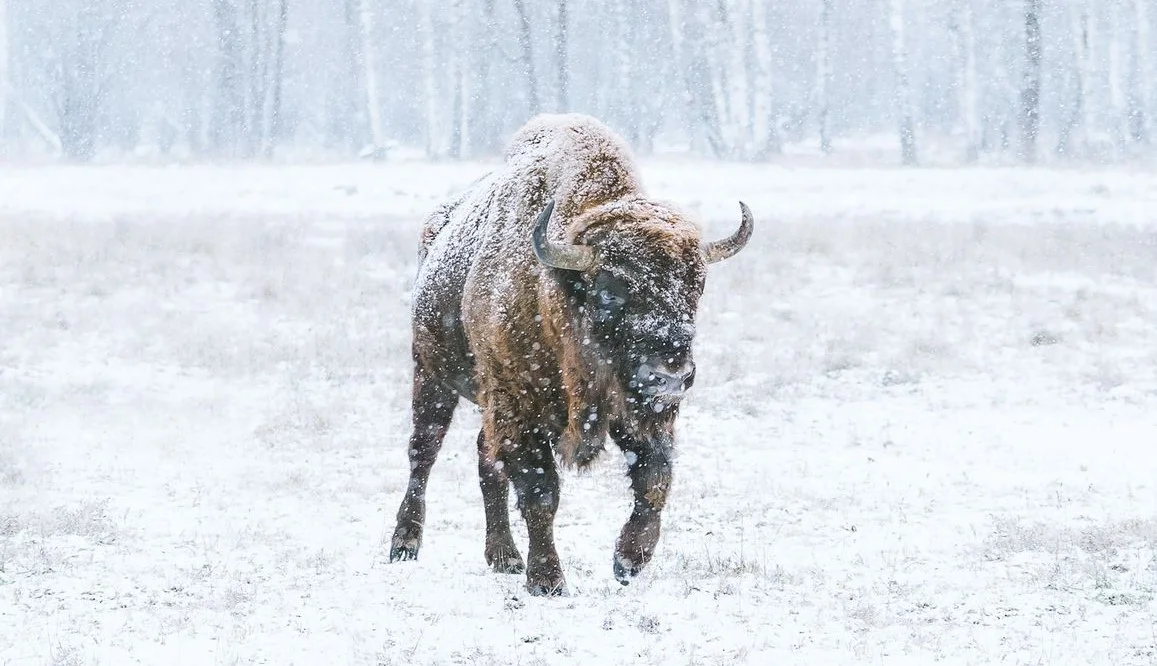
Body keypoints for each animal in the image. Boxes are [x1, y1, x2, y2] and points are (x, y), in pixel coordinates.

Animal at [388, 112, 749, 596]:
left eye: (696, 286)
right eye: (611, 290)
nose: (670, 376)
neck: (558, 290)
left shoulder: (634, 410)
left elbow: (654, 478)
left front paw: (628, 561)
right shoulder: (519, 405)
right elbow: (541, 492)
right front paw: (547, 581)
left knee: (486, 459)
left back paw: (504, 557)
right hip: (431, 374)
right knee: (423, 452)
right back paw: (404, 545)